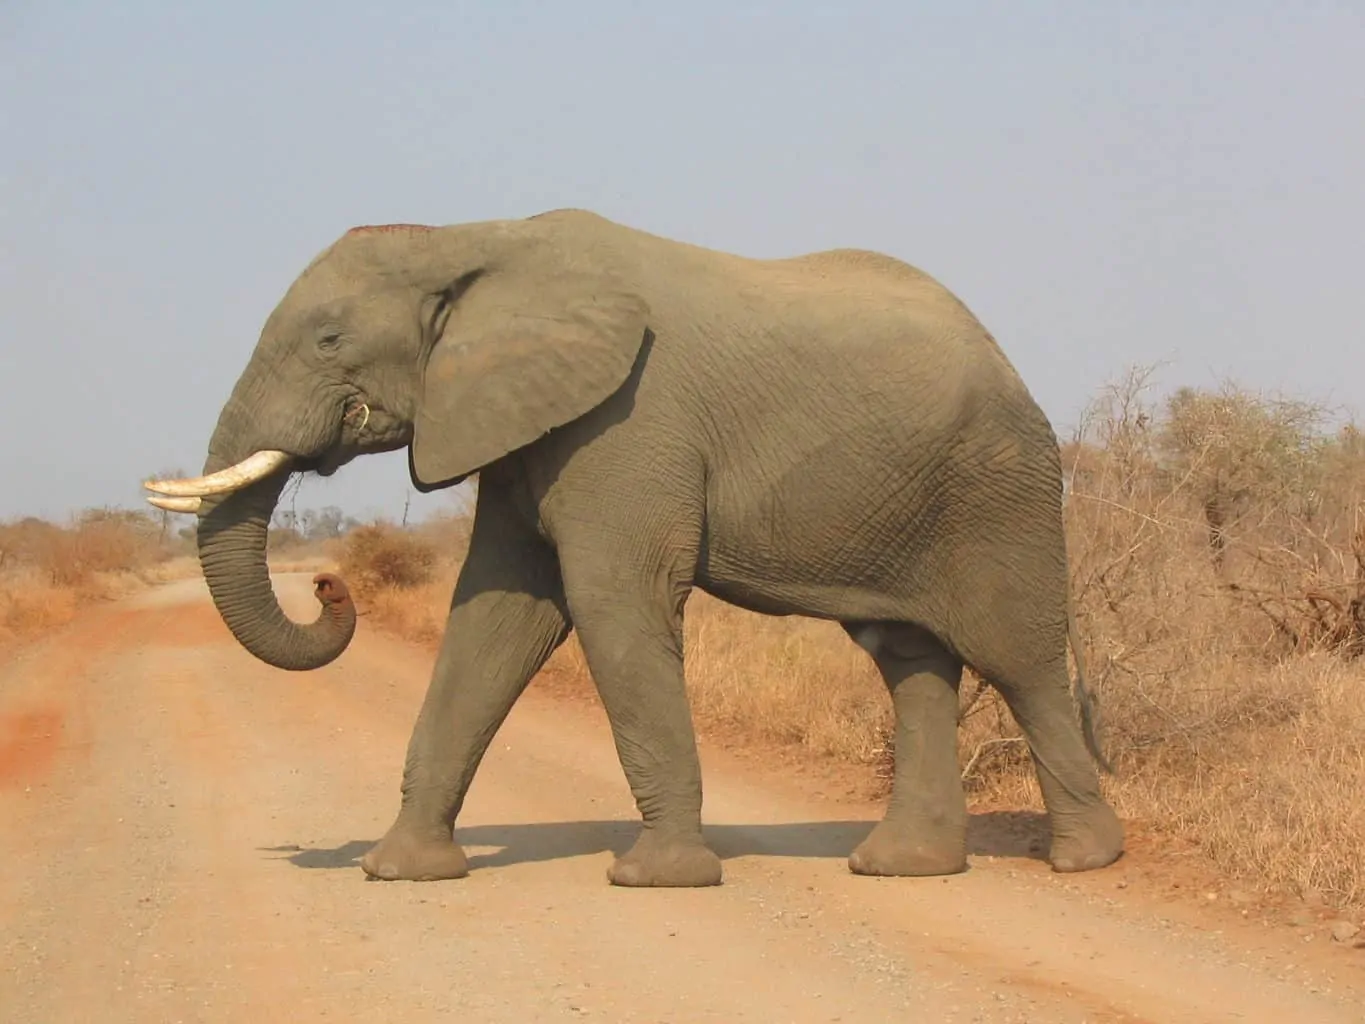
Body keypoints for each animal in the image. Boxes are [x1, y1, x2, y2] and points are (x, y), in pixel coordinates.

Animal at [145, 208, 1124, 887]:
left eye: (329, 339)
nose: (327, 586)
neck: (470, 236)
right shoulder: (520, 427)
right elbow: (495, 617)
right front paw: (399, 872)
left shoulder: (626, 421)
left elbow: (611, 600)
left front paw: (657, 879)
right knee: (909, 660)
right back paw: (902, 868)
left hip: (998, 484)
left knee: (1019, 658)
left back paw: (1085, 861)